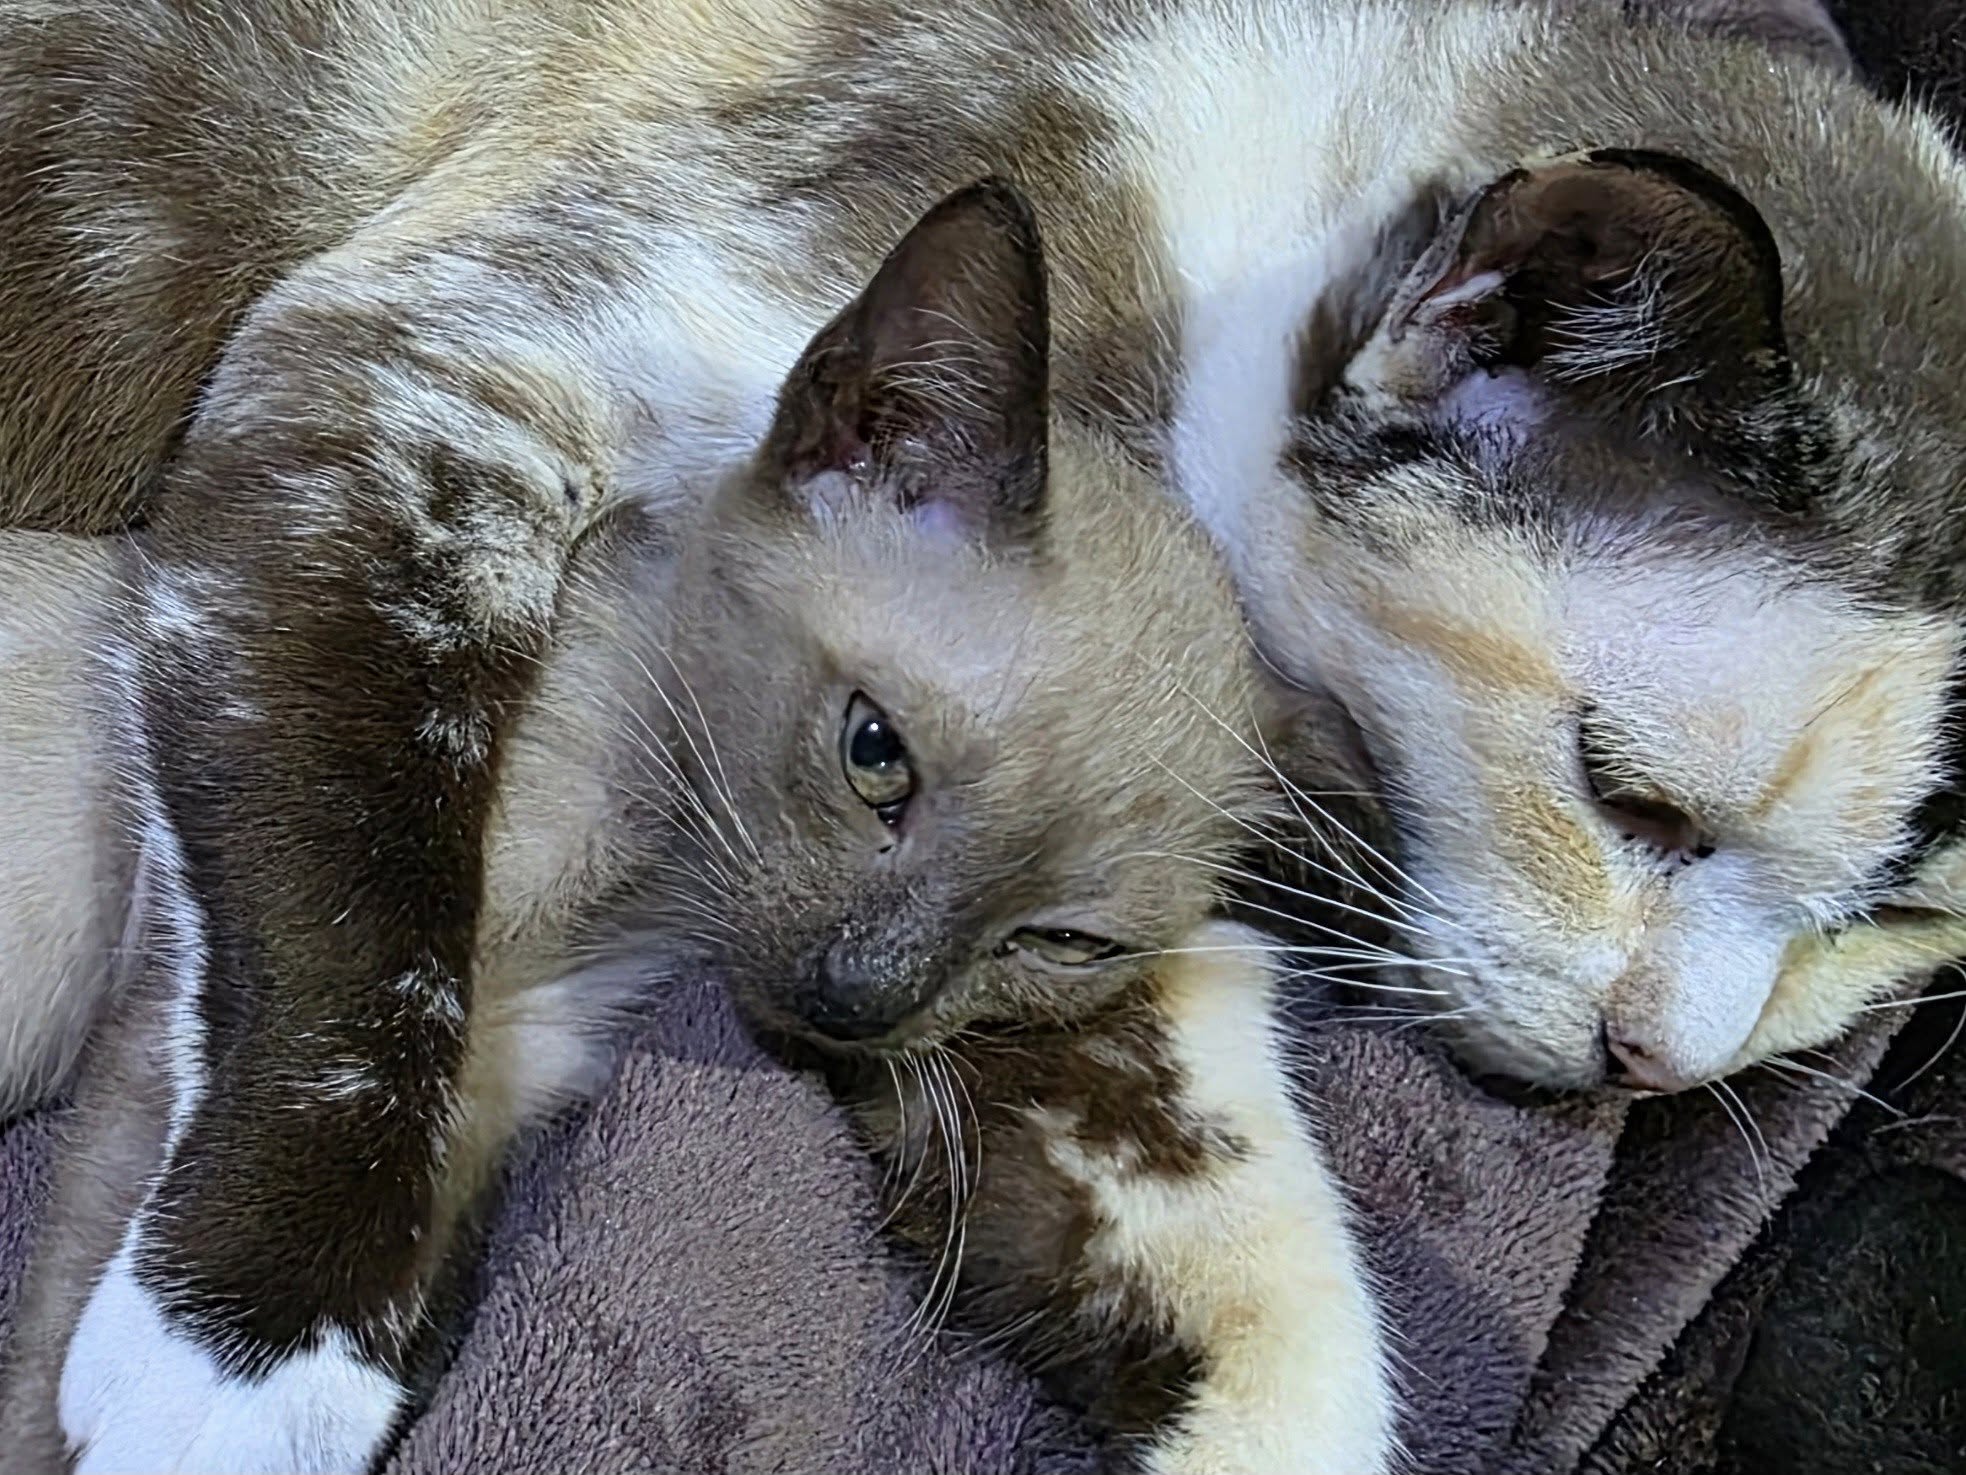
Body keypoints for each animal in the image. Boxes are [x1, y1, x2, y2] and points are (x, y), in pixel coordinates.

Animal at [0, 178, 1396, 1473]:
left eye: (1059, 941)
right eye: (874, 754)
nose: (855, 999)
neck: (640, 886)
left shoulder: (502, 1087)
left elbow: (417, 1302)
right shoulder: (192, 1037)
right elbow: (74, 1365)